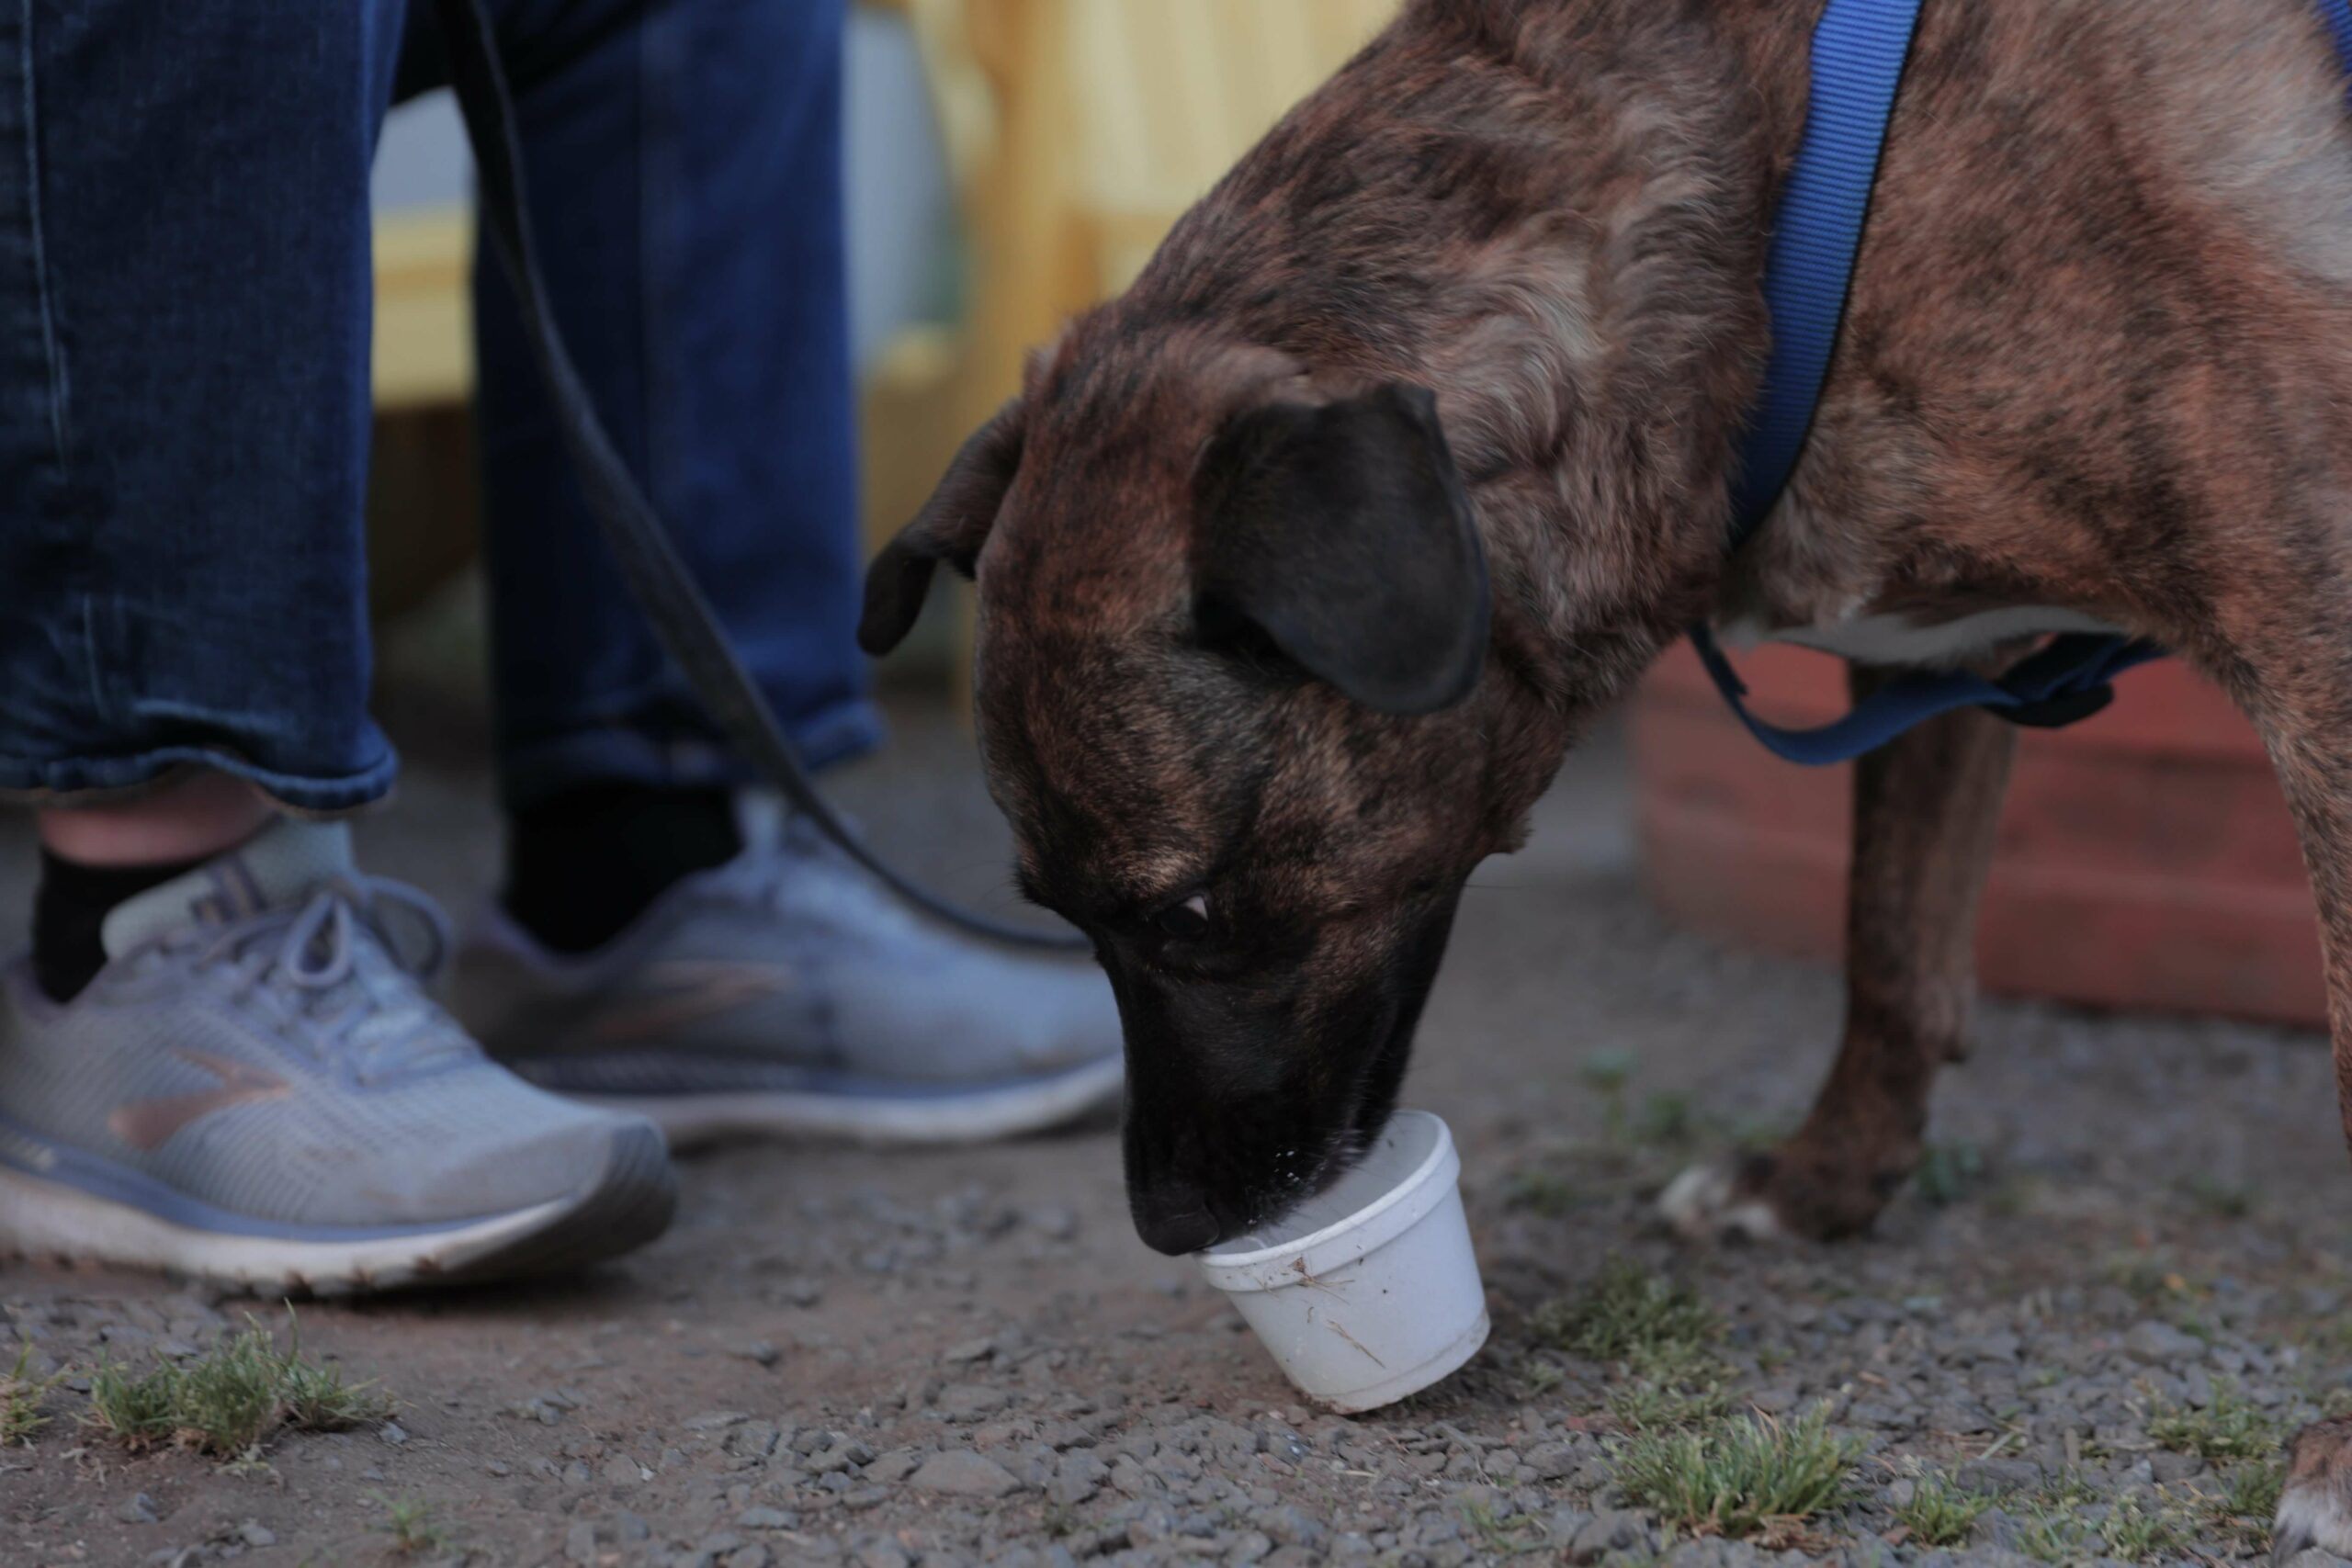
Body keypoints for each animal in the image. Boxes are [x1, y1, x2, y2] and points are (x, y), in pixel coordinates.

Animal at [865, 0, 2352, 1541]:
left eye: (1190, 913)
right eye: (1062, 916)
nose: (1168, 1219)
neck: (1796, 223)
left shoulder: (2322, 643)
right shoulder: (1935, 656)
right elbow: (1890, 947)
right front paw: (1824, 1180)